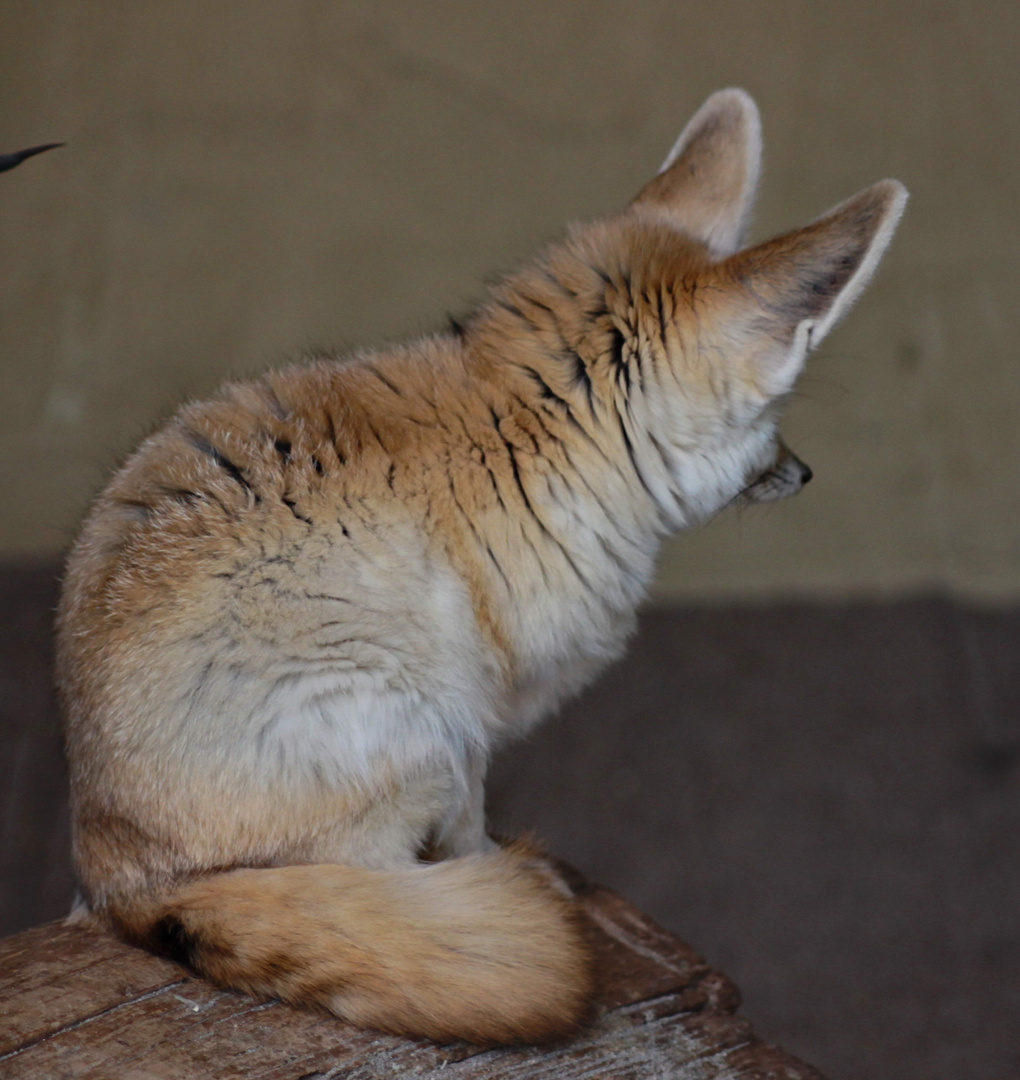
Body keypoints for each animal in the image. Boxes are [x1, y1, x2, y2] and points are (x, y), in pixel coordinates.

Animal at [55, 92, 903, 1045]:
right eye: (772, 421)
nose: (806, 474)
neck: (523, 417)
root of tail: (121, 883)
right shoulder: (472, 719)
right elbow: (471, 830)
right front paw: (505, 870)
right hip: (412, 722)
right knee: (379, 877)